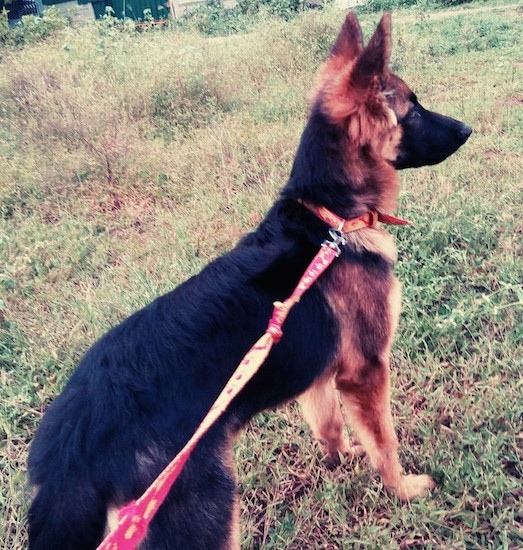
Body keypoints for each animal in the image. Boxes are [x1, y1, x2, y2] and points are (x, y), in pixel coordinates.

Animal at [26, 12, 472, 550]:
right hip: (208, 516)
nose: (468, 129)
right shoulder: (366, 372)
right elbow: (384, 441)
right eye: (413, 111)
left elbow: (329, 424)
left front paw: (342, 457)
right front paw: (403, 489)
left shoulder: (319, 372)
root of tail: (70, 452)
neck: (330, 220)